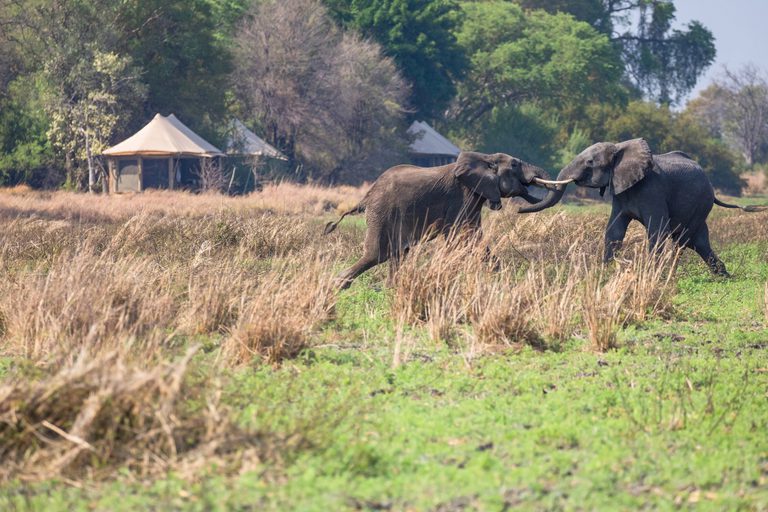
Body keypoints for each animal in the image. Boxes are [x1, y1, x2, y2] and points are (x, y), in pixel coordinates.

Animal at [324, 151, 548, 289]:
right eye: (515, 165)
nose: (520, 208)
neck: (485, 157)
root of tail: (367, 196)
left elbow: (473, 238)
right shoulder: (462, 197)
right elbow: (464, 238)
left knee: (397, 253)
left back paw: (389, 287)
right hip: (382, 211)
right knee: (378, 253)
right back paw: (339, 284)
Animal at [519, 138, 764, 275]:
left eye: (589, 162)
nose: (519, 210)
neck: (619, 148)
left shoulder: (652, 191)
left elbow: (657, 231)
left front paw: (651, 274)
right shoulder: (620, 192)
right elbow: (614, 231)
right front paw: (605, 272)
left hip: (701, 202)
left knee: (684, 238)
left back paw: (673, 272)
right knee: (699, 241)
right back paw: (722, 275)